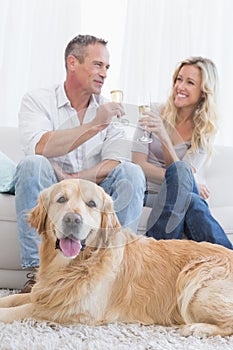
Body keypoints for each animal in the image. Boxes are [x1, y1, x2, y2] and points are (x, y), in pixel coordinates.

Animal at [0, 179, 233, 338]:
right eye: (61, 199)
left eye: (91, 204)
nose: (73, 219)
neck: (76, 264)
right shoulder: (47, 293)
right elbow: (13, 299)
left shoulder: (69, 310)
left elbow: (18, 310)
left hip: (195, 284)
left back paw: (197, 328)